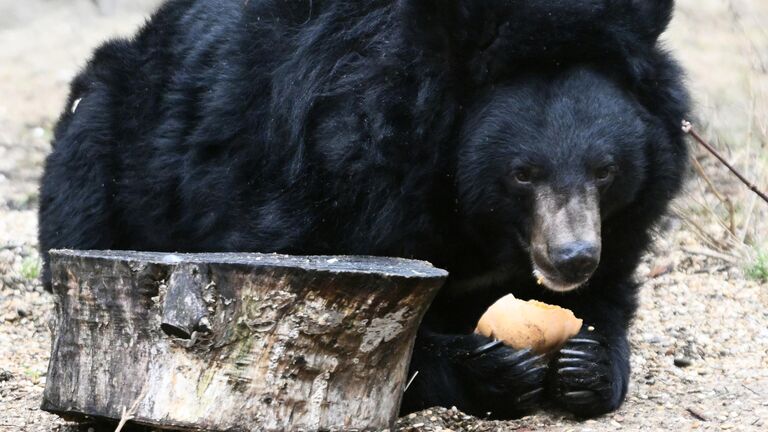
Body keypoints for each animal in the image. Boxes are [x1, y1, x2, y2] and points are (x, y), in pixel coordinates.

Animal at [39, 0, 688, 418]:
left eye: (606, 170)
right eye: (523, 173)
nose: (572, 259)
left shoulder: (624, 218)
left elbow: (612, 292)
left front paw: (588, 365)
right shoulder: (335, 179)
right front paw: (492, 371)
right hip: (111, 130)